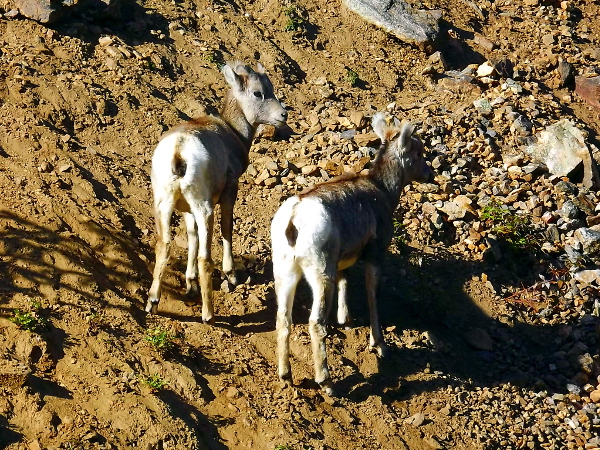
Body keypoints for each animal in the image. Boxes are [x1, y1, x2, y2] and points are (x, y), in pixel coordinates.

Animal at [145, 60, 286, 320]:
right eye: (258, 93)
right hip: (205, 209)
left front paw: (190, 284)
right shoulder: (230, 192)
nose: (283, 115)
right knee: (205, 257)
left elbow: (191, 237)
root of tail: (179, 151)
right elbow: (227, 229)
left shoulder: (186, 210)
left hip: (164, 206)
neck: (233, 133)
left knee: (163, 247)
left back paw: (152, 302)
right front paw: (231, 276)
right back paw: (208, 314)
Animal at [270, 112, 432, 394]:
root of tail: (293, 219)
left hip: (286, 274)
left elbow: (346, 285)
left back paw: (285, 376)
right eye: (419, 153)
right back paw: (326, 383)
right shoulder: (375, 256)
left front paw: (345, 319)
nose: (430, 174)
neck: (382, 191)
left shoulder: (343, 263)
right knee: (316, 324)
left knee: (283, 320)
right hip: (321, 276)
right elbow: (372, 296)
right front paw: (379, 345)